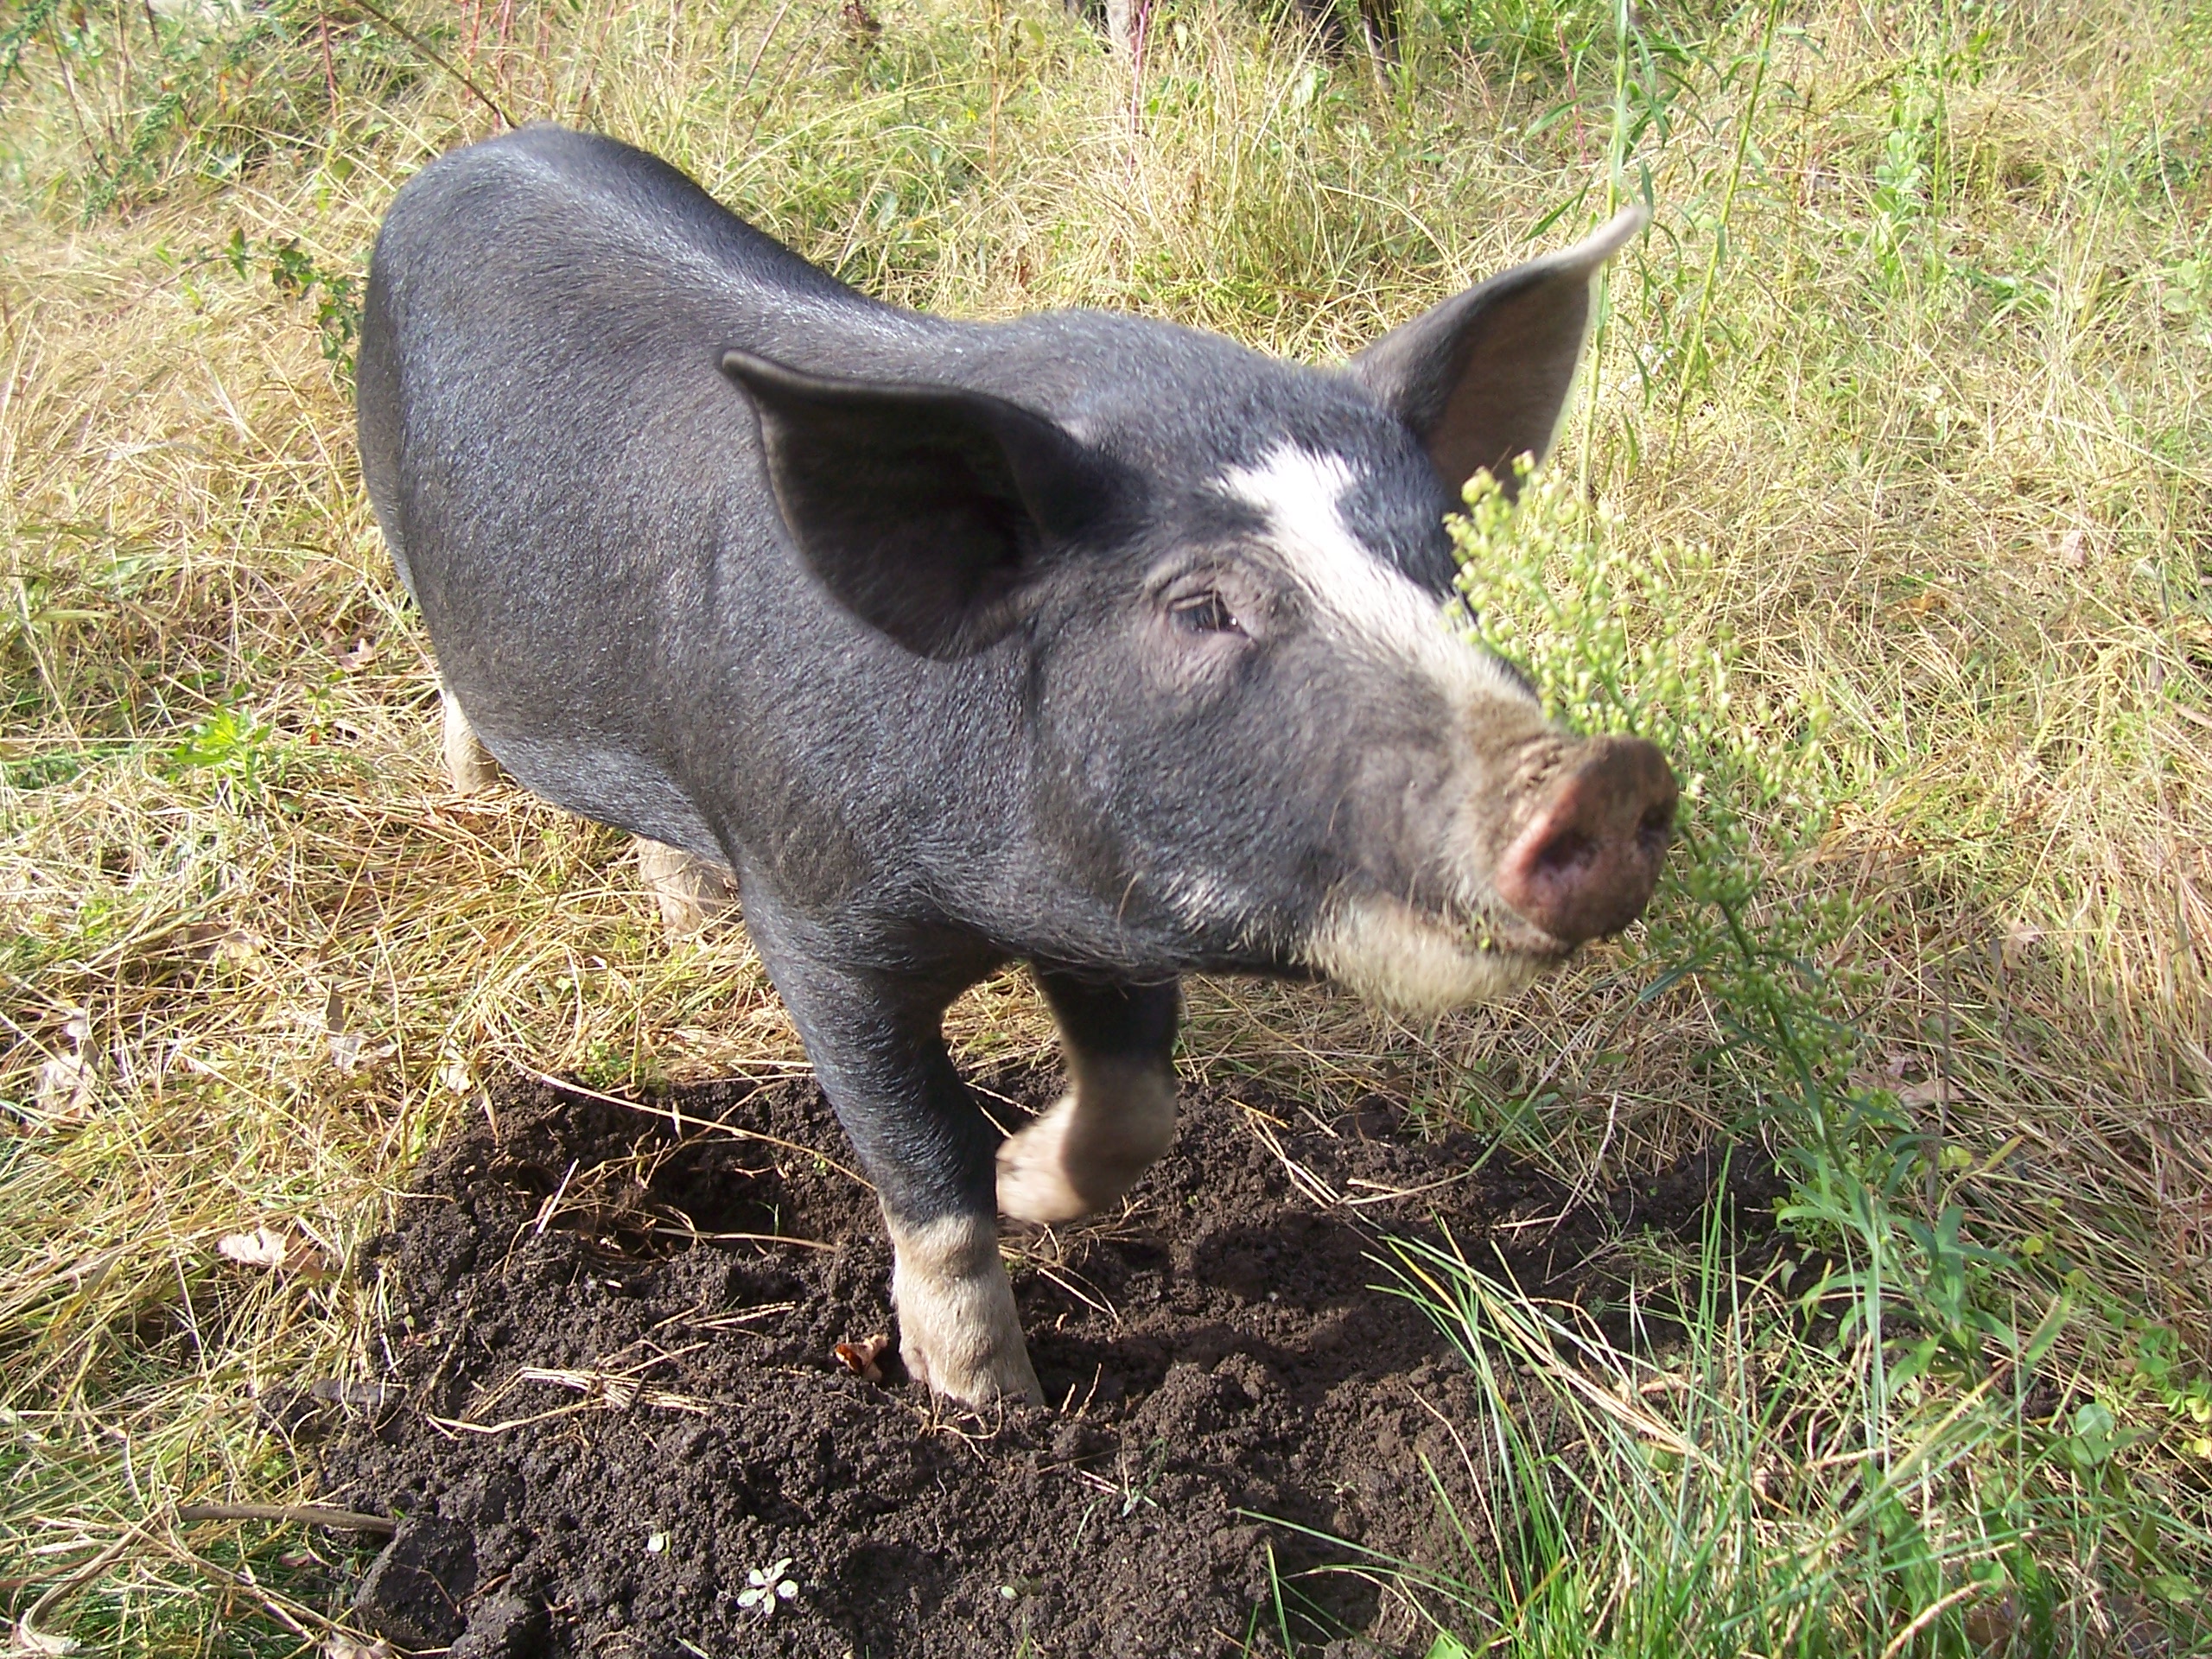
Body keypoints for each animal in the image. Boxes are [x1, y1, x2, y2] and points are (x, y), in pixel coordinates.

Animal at [357, 125, 1676, 1408]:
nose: (1606, 775)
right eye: (1199, 608)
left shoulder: (1114, 902)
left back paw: (684, 917)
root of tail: (455, 163)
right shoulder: (812, 920)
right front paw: (986, 1405)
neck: (993, 904)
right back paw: (472, 785)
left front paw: (1025, 1178)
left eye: (1445, 570)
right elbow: (923, 1160)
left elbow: (1138, 1099)